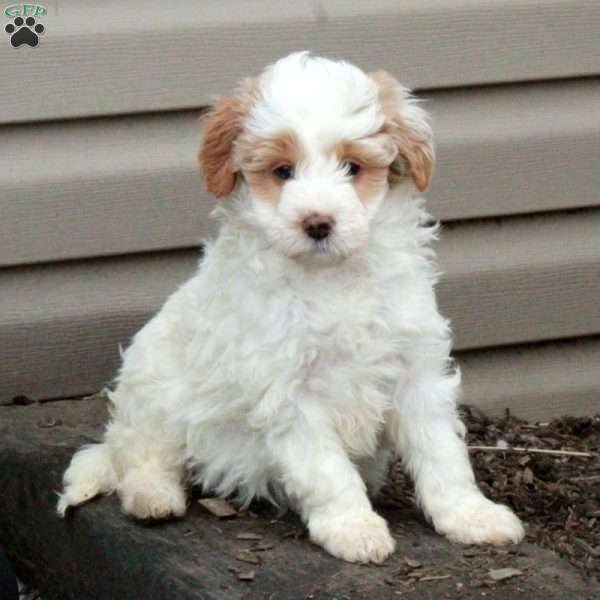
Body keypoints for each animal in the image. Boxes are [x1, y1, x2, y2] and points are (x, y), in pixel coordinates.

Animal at [58, 51, 524, 564]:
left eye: (352, 167)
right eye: (283, 172)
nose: (317, 223)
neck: (331, 277)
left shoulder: (416, 370)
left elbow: (441, 453)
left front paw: (470, 516)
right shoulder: (288, 392)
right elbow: (327, 470)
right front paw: (352, 527)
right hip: (155, 394)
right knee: (141, 456)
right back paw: (153, 498)